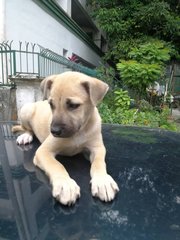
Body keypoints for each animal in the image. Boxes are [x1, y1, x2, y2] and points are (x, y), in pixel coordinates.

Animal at [12, 71, 119, 204]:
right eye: (51, 104)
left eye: (73, 105)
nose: (54, 131)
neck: (78, 132)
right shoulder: (43, 151)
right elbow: (57, 165)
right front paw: (65, 185)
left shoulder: (97, 148)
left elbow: (99, 163)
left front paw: (102, 181)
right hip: (26, 110)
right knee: (28, 129)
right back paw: (26, 136)